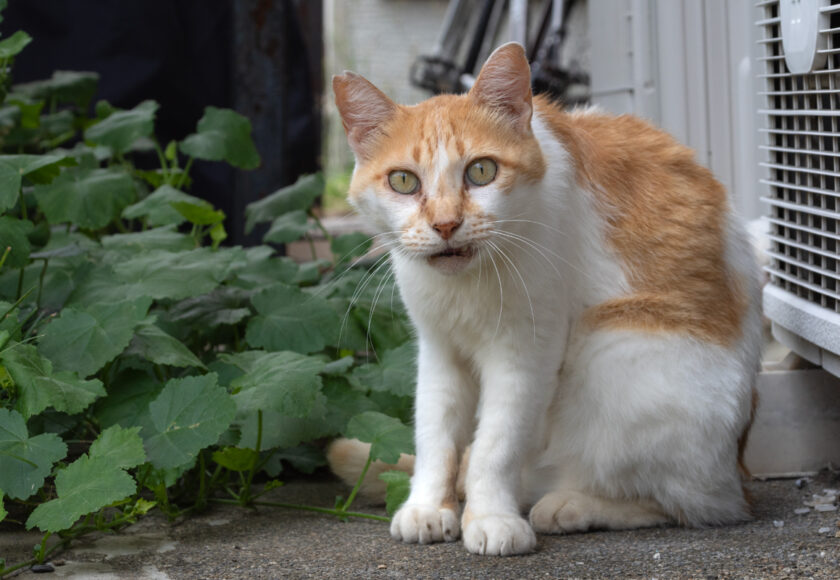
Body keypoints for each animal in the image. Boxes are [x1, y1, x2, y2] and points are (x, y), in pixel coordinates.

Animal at [328, 43, 760, 556]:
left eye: (481, 171)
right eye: (403, 182)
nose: (446, 224)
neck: (466, 285)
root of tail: (740, 467)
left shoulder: (526, 354)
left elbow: (495, 444)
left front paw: (490, 517)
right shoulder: (438, 350)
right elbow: (435, 434)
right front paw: (429, 507)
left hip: (614, 346)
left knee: (690, 503)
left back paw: (572, 505)